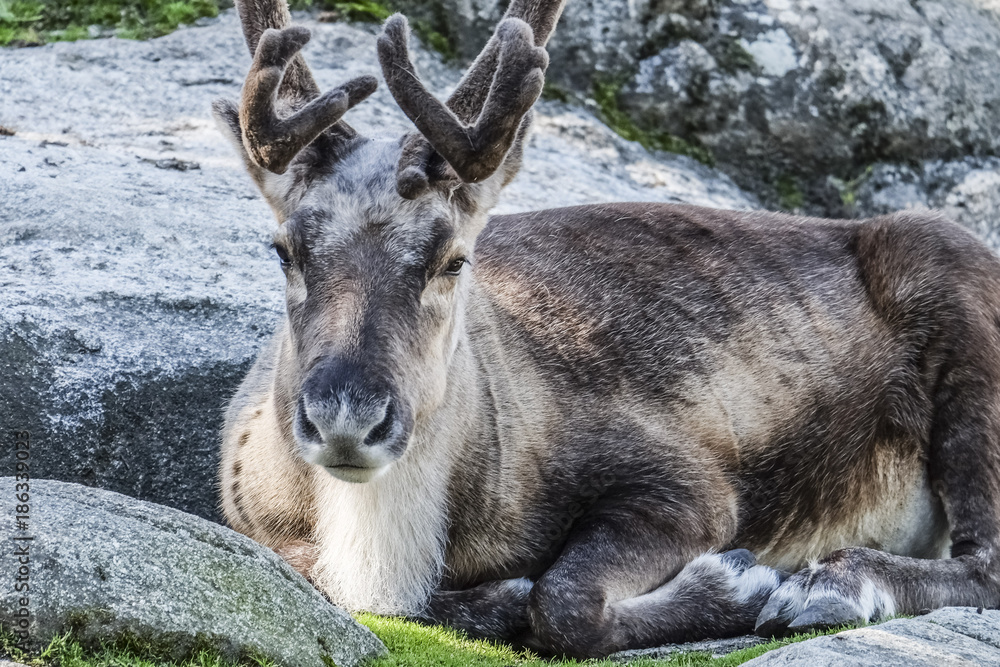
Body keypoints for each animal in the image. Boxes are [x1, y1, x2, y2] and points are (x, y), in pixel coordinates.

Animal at [213, 0, 1000, 657]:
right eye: (283, 249)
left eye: (453, 258)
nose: (346, 416)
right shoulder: (261, 529)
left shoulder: (688, 483)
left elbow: (562, 600)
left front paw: (738, 582)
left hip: (963, 327)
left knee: (985, 559)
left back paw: (829, 585)